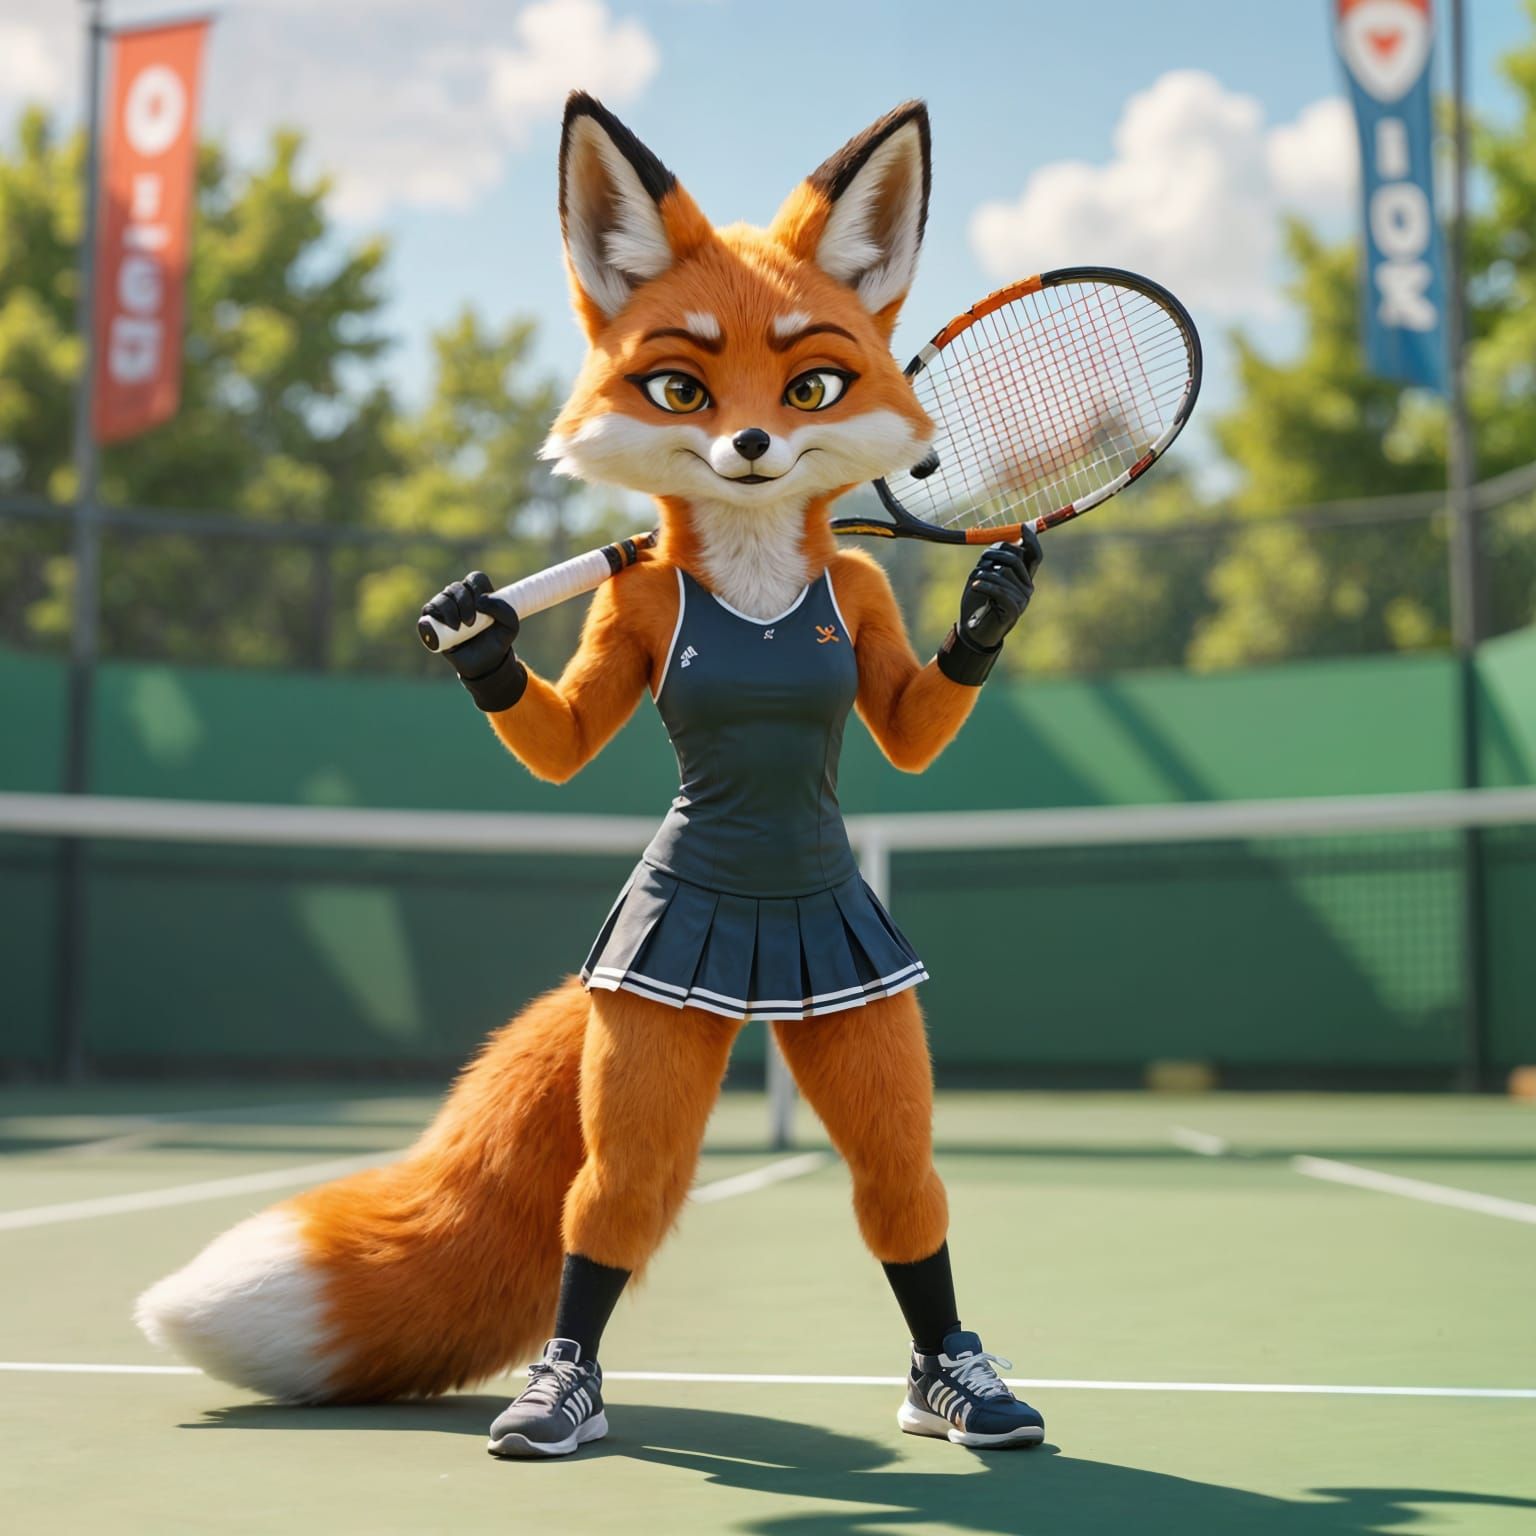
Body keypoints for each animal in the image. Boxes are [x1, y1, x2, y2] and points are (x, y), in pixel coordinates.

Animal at [137, 93, 1043, 1447]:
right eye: (678, 386)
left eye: (816, 383)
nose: (754, 442)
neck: (756, 558)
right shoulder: (633, 605)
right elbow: (563, 739)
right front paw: (476, 636)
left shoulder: (866, 598)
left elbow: (905, 719)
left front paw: (994, 607)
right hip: (649, 1033)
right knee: (613, 1195)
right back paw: (555, 1393)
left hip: (857, 1026)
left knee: (899, 1190)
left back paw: (962, 1385)